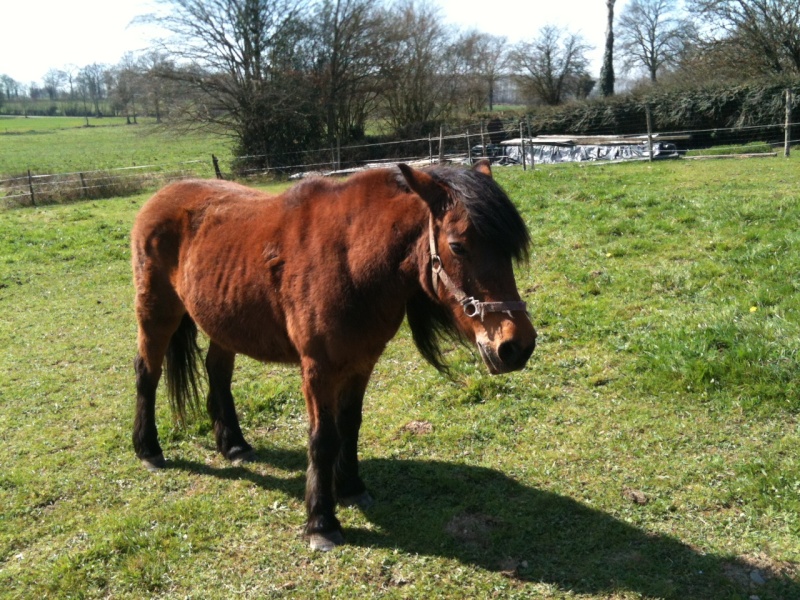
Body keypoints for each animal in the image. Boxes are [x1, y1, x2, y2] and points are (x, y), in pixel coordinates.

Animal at [131, 159, 536, 548]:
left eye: (508, 250)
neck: (350, 260)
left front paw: (351, 488)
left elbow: (350, 425)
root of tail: (157, 199)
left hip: (224, 322)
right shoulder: (318, 370)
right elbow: (323, 438)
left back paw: (233, 445)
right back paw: (148, 449)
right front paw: (321, 521)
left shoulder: (361, 363)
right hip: (156, 315)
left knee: (217, 372)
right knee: (147, 374)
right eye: (458, 246)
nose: (517, 347)